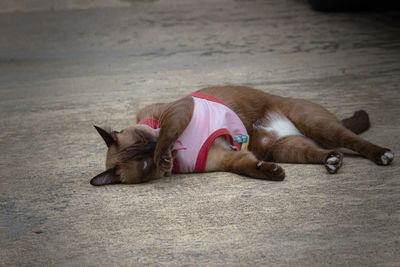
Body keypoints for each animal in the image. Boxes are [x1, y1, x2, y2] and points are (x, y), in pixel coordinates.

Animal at [90, 86, 394, 186]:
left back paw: (383, 155)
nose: (155, 150)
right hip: (284, 149)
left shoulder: (178, 111)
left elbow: (167, 131)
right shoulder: (229, 159)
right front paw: (273, 174)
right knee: (323, 152)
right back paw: (331, 161)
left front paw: (163, 149)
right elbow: (249, 168)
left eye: (144, 141)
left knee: (355, 141)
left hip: (317, 124)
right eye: (144, 164)